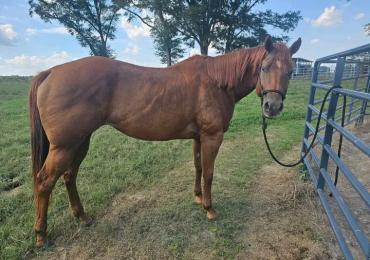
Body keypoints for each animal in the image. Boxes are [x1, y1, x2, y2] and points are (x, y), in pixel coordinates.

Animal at [28, 35, 300, 246]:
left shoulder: (198, 137)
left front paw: (198, 197)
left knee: (69, 176)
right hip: (65, 147)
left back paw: (83, 218)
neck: (216, 82)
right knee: (45, 182)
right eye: (264, 68)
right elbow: (209, 172)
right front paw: (210, 209)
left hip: (80, 142)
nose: (272, 107)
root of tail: (50, 72)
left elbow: (198, 167)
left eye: (290, 71)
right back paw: (41, 235)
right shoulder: (212, 136)